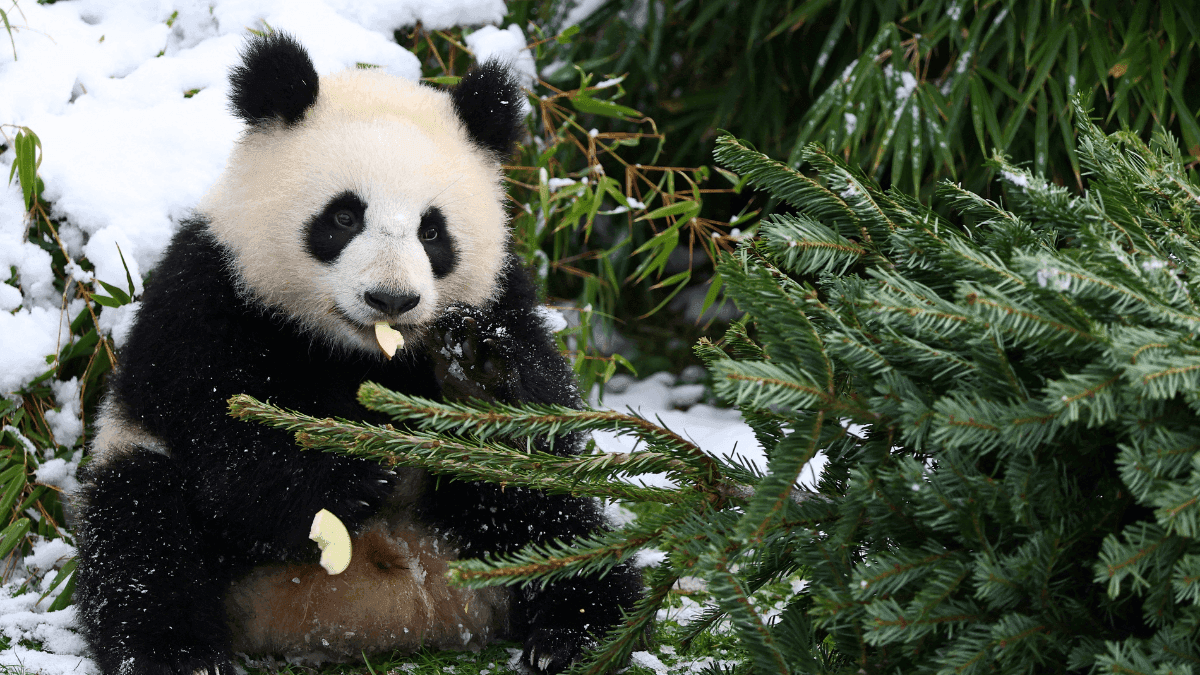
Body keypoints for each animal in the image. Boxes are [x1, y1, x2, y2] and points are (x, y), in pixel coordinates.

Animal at [71, 32, 642, 675]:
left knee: (553, 519)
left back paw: (579, 631)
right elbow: (225, 441)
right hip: (140, 472)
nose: (391, 298)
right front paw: (358, 473)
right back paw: (178, 653)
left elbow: (543, 415)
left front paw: (477, 369)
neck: (359, 354)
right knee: (142, 532)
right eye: (343, 217)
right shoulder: (210, 294)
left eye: (432, 232)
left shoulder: (502, 294)